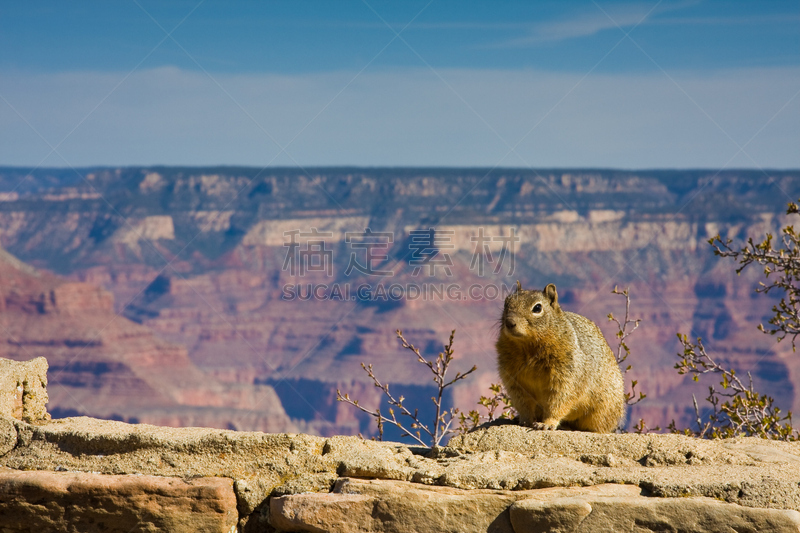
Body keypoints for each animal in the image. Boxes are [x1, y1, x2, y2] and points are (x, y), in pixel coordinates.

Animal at [494, 282, 624, 432]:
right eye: (506, 302)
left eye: (537, 308)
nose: (509, 322)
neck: (528, 346)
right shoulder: (513, 379)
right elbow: (523, 403)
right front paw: (525, 420)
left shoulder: (565, 375)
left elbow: (558, 400)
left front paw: (546, 424)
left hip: (603, 411)